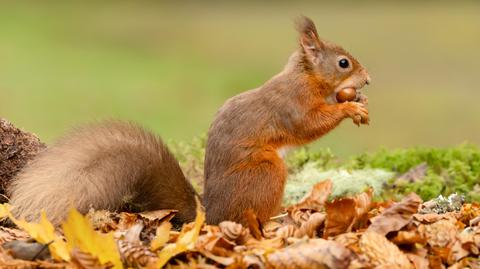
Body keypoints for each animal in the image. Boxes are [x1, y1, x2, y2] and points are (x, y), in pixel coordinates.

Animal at [8, 16, 372, 226]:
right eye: (343, 63)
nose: (367, 80)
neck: (306, 78)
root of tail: (211, 216)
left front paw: (358, 103)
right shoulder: (292, 105)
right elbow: (308, 126)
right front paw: (349, 110)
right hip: (267, 173)